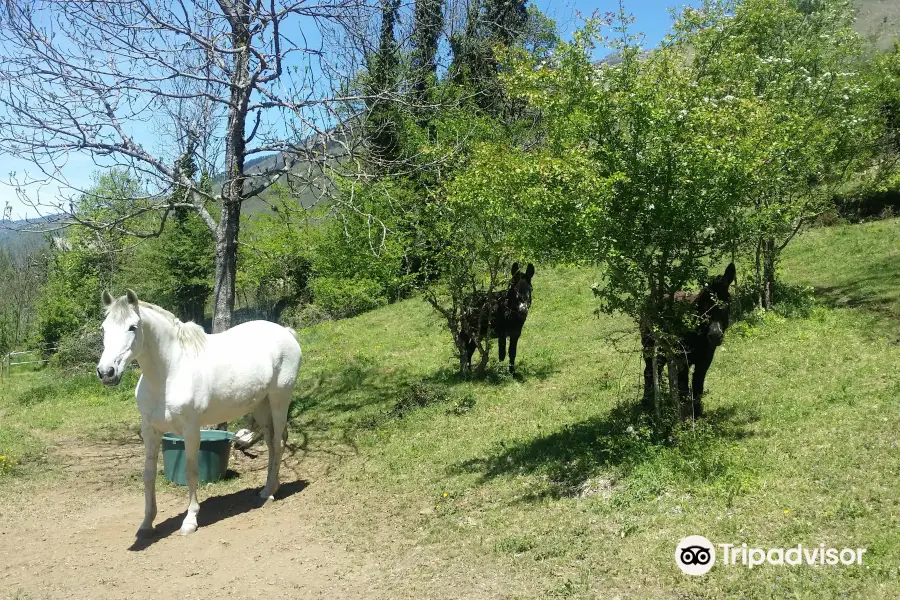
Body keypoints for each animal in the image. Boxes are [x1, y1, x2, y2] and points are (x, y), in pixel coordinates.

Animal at [96, 288, 302, 536]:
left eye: (132, 327)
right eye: (104, 328)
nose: (106, 372)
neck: (169, 372)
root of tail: (286, 333)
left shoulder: (191, 430)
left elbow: (191, 471)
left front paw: (190, 521)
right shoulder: (150, 431)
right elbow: (148, 475)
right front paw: (146, 523)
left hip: (279, 400)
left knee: (279, 443)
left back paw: (269, 492)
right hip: (261, 406)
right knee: (272, 443)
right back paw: (269, 488)